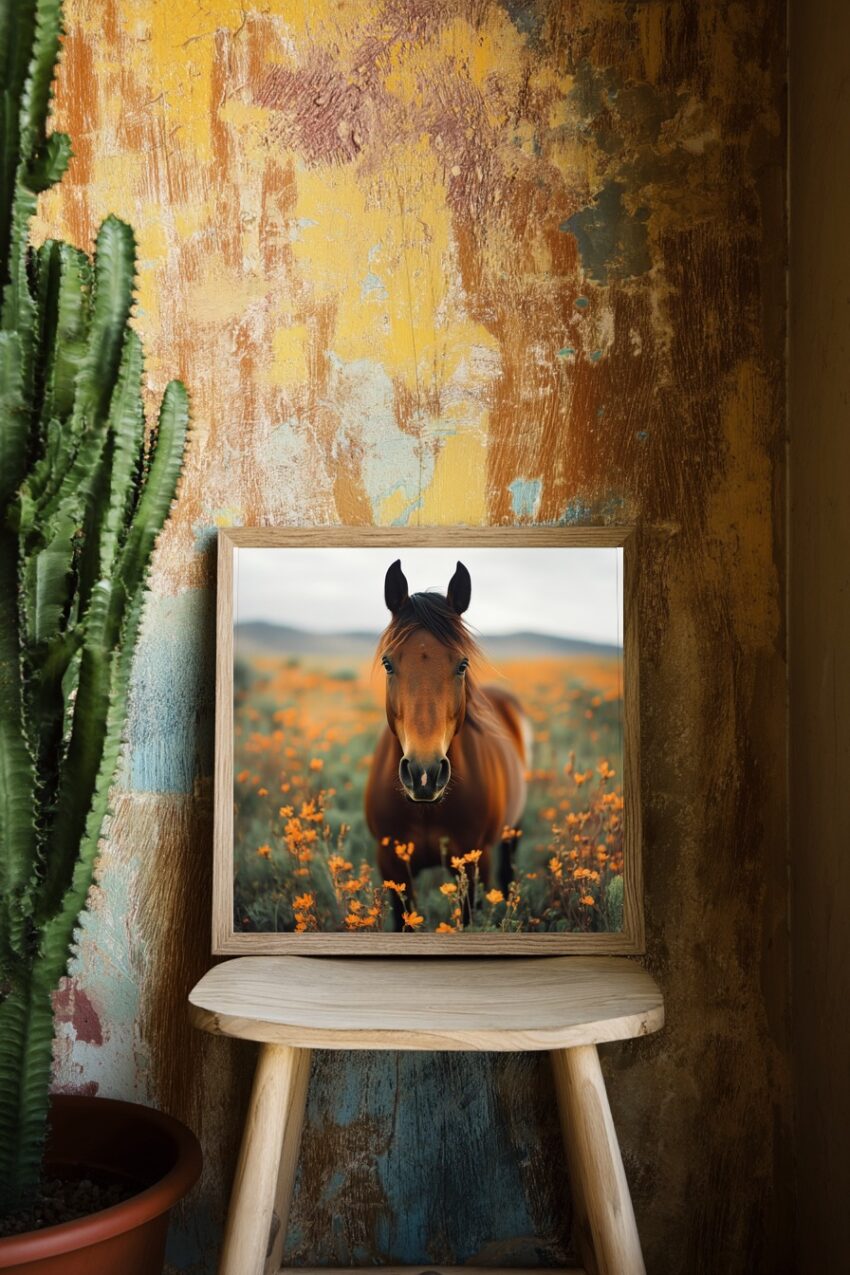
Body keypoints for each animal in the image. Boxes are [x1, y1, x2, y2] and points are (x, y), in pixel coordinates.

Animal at [364, 558, 530, 930]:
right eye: (388, 663)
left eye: (462, 664)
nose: (424, 774)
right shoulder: (392, 866)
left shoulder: (472, 863)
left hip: (512, 832)